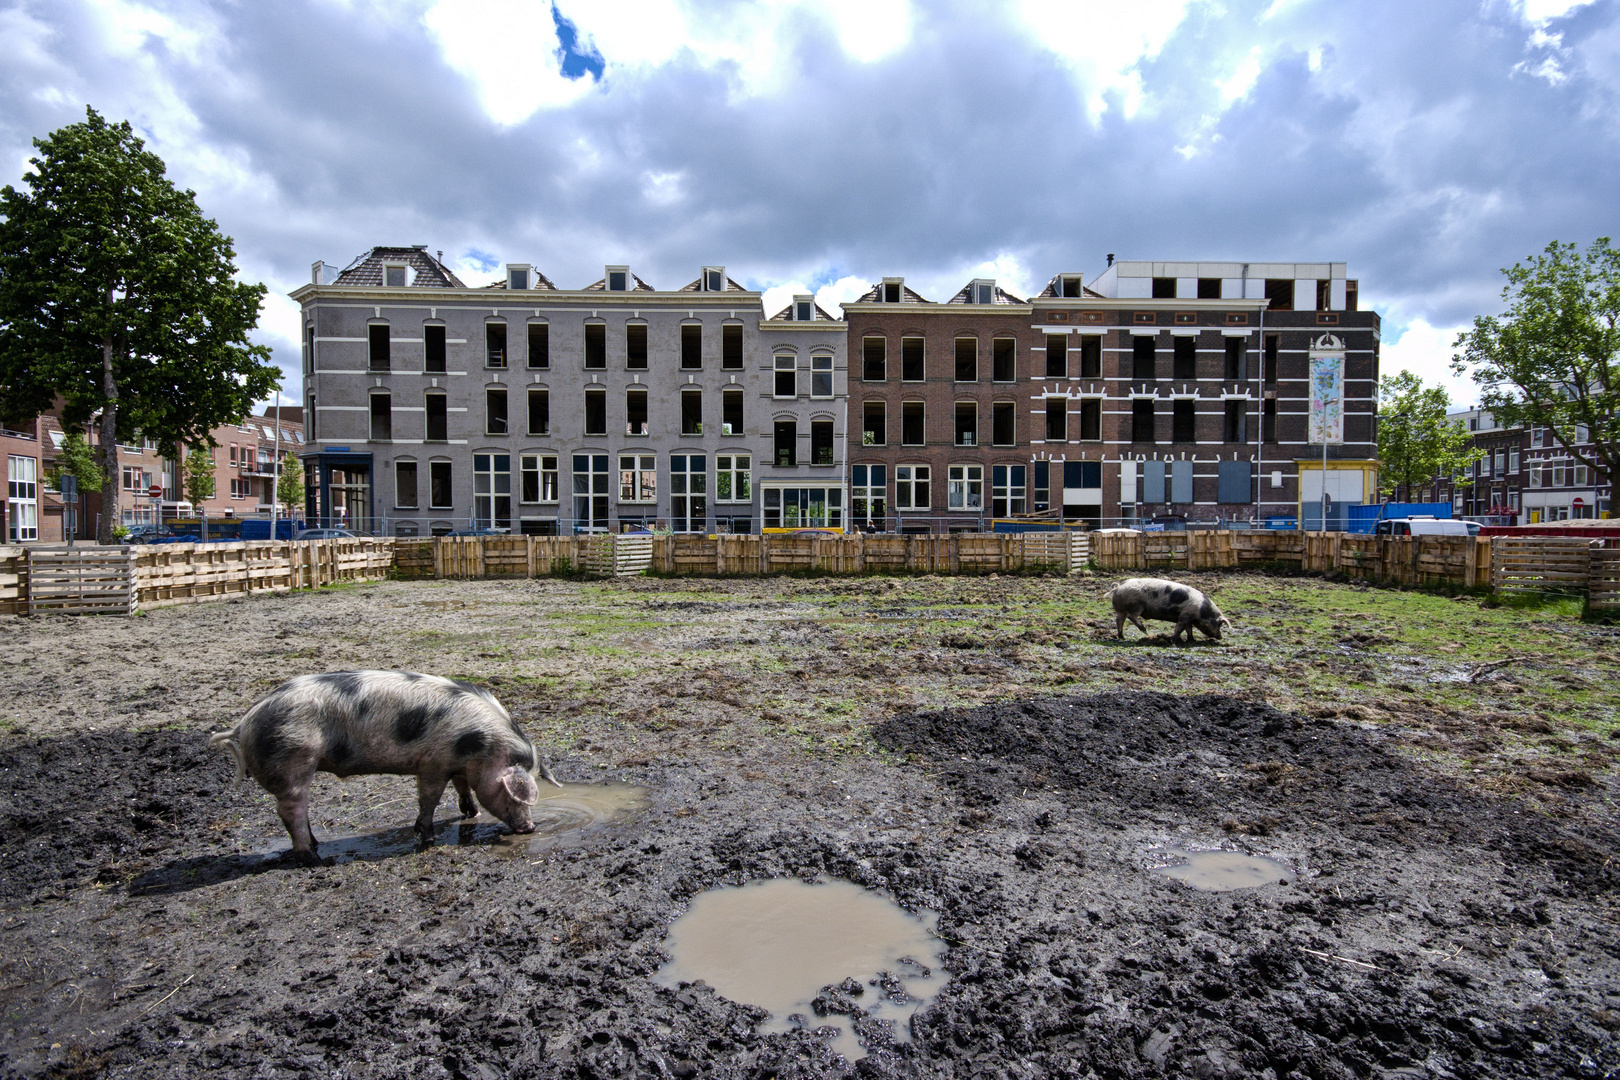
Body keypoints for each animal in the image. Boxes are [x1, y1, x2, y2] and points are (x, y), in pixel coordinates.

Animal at [208, 670, 563, 867]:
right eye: (516, 795)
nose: (530, 827)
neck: (480, 744)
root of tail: (244, 721)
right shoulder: (432, 763)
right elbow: (429, 798)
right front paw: (428, 837)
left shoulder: (457, 764)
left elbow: (462, 787)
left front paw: (471, 813)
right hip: (295, 760)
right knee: (289, 811)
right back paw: (314, 859)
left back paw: (317, 844)